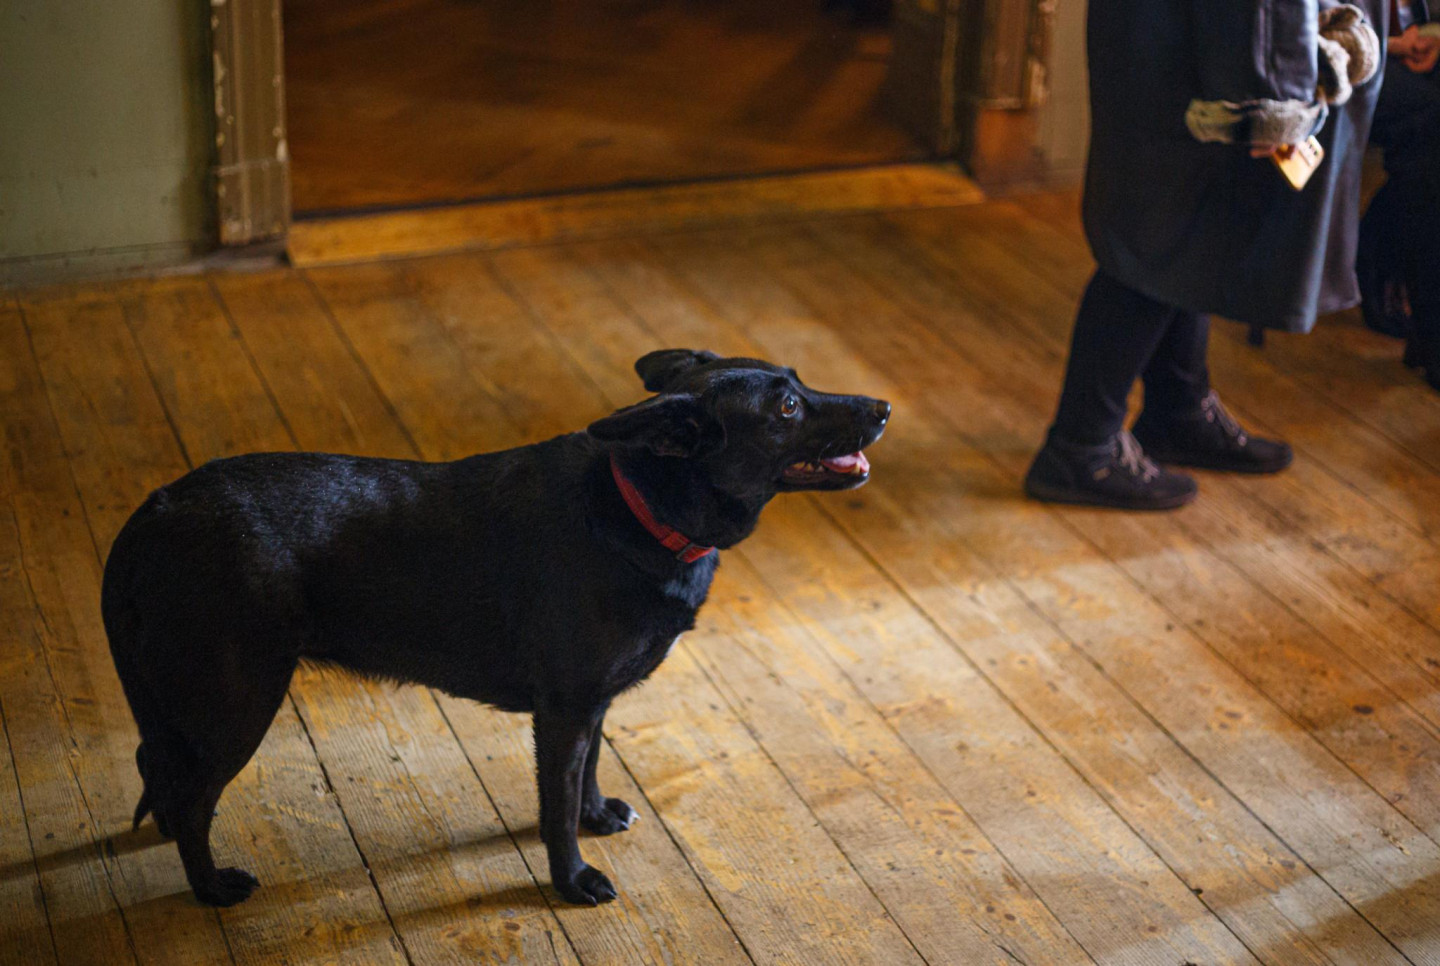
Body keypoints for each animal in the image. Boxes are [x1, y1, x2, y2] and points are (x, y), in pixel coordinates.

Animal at [102, 348, 890, 907]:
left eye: (799, 382)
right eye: (787, 406)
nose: (883, 405)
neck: (637, 505)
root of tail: (157, 509)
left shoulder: (591, 704)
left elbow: (586, 776)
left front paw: (598, 814)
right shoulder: (565, 710)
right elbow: (556, 805)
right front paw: (573, 882)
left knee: (159, 767)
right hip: (239, 701)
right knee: (192, 796)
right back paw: (209, 888)